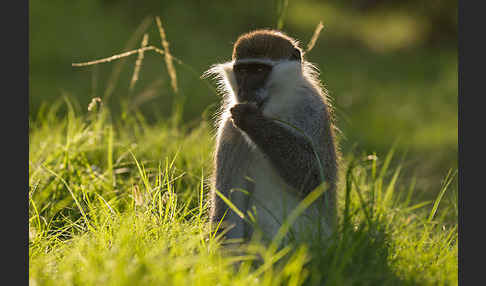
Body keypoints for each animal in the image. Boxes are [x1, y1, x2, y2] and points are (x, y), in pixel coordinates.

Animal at [203, 28, 340, 244]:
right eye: (242, 71)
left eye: (259, 70)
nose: (245, 90)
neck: (273, 110)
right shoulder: (229, 130)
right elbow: (229, 202)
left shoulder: (312, 108)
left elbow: (318, 178)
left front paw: (251, 120)